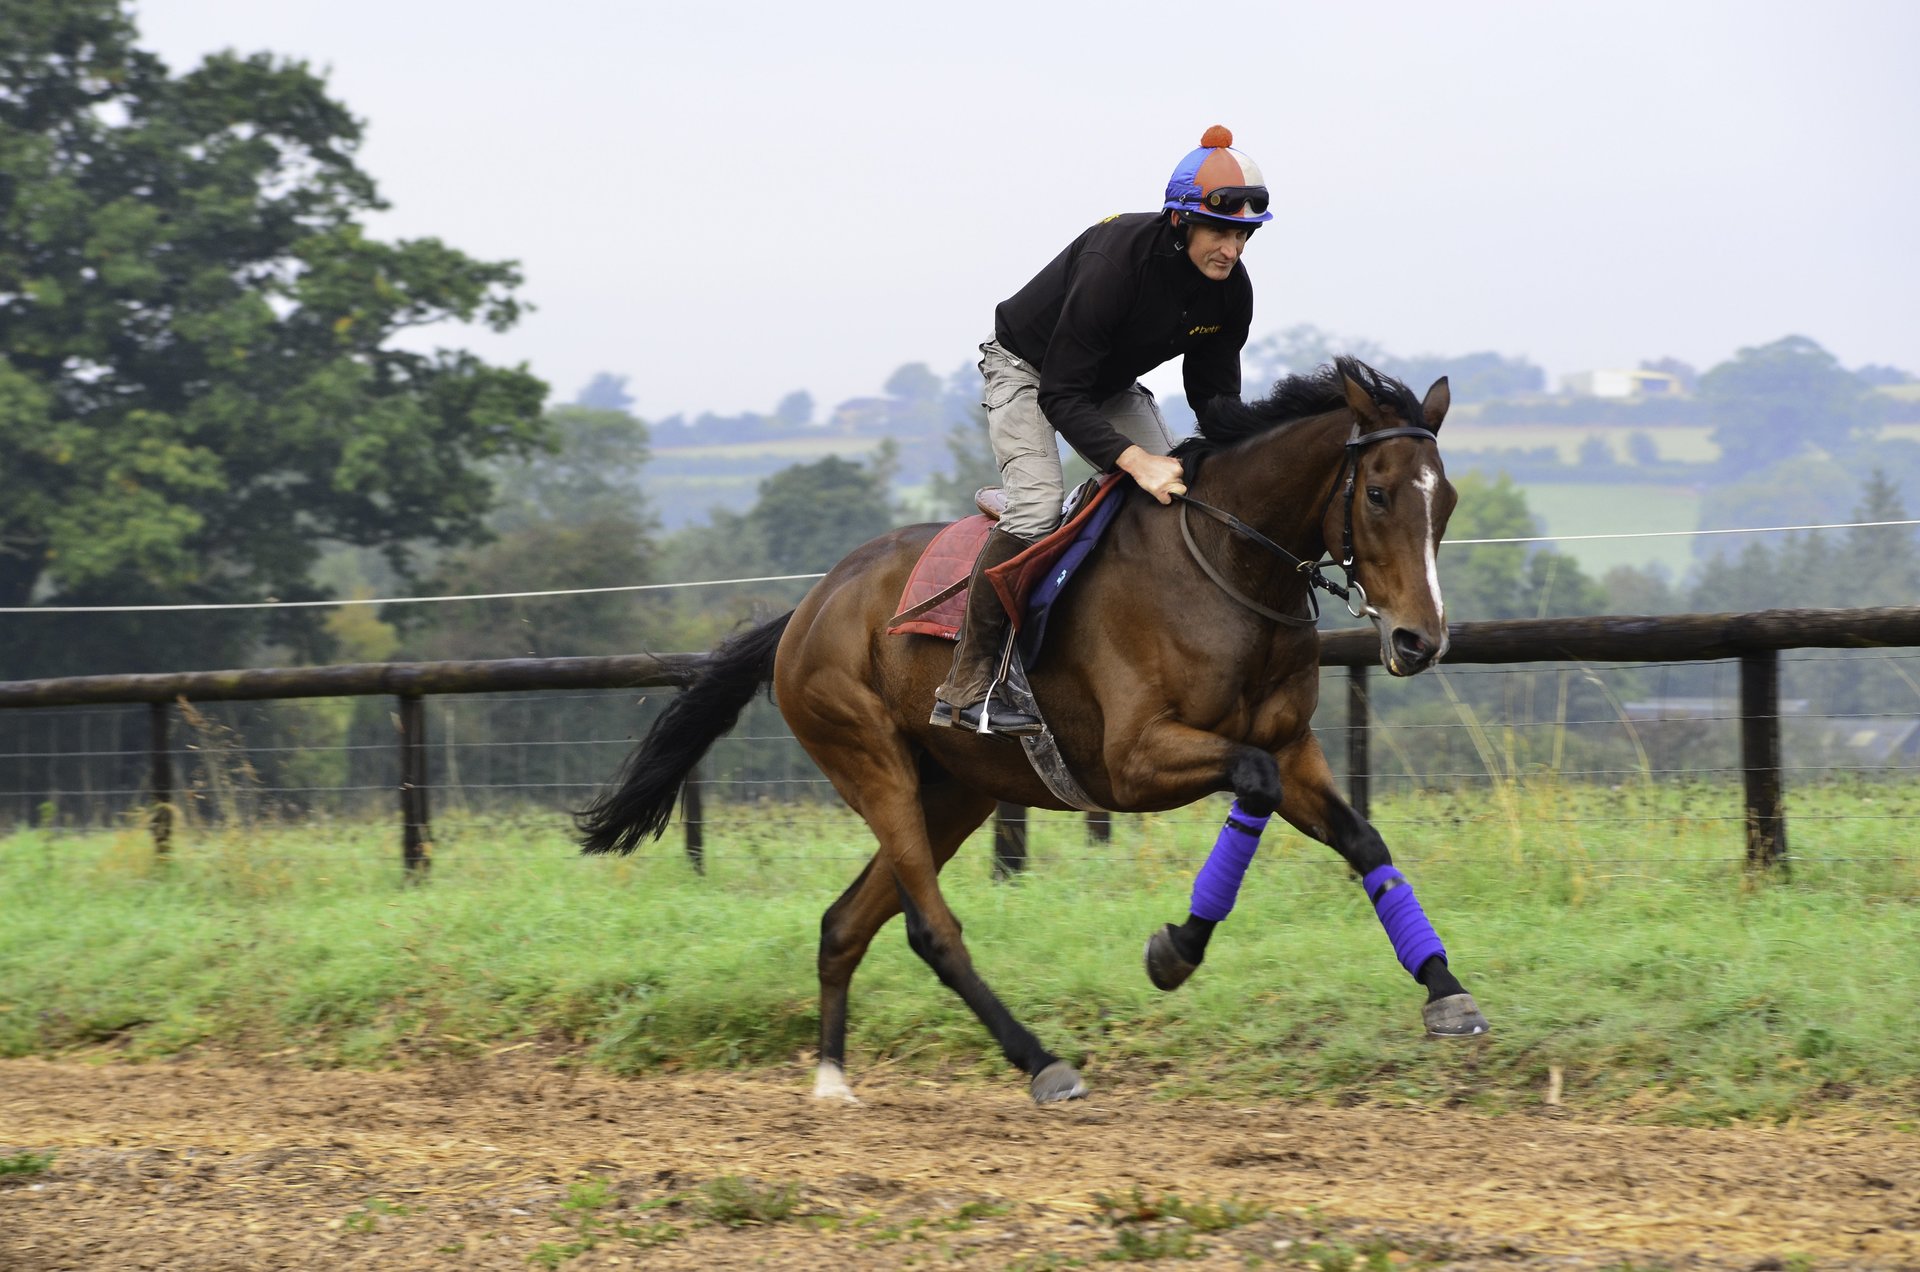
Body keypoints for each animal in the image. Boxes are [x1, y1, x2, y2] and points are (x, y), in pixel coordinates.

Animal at [577, 356, 1485, 1105]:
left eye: (1446, 500)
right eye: (1377, 493)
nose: (1420, 640)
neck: (1227, 569)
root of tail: (806, 609)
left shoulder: (1294, 747)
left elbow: (1362, 839)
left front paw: (1445, 989)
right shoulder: (1135, 760)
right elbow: (1251, 786)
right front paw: (1174, 951)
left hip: (956, 790)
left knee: (845, 922)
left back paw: (832, 1077)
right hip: (870, 761)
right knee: (929, 928)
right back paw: (1041, 1062)